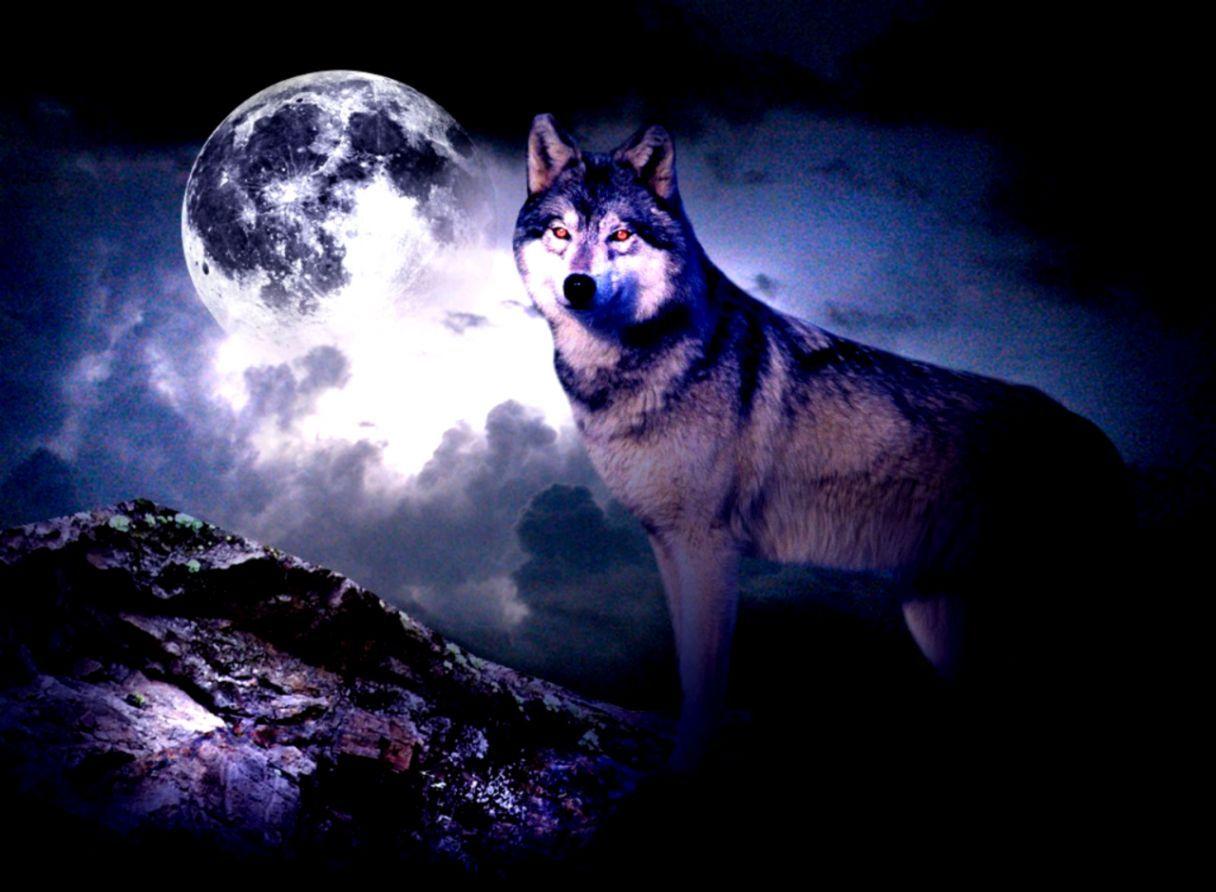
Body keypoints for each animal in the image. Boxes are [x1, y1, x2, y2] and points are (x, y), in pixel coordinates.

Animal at [512, 114, 1133, 772]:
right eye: (560, 232)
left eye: (621, 233)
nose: (578, 286)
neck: (636, 363)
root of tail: (1099, 437)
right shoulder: (666, 543)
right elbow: (684, 672)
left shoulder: (709, 546)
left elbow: (705, 683)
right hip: (940, 627)